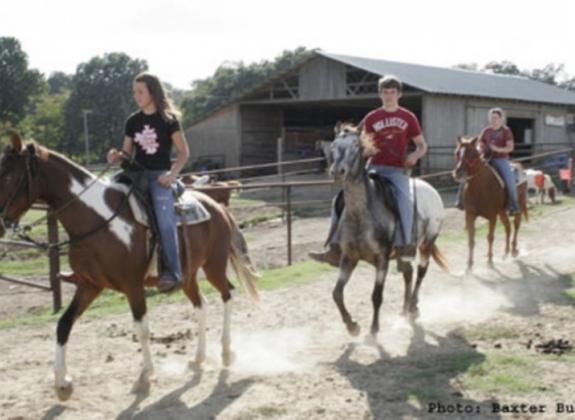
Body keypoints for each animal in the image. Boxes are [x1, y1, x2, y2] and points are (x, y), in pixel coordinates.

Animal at [0, 134, 258, 400]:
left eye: (8, 176)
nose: (1, 225)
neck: (98, 220)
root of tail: (218, 207)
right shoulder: (89, 285)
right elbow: (63, 324)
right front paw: (62, 384)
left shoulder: (133, 285)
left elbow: (142, 328)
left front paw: (145, 376)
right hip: (187, 275)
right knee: (201, 305)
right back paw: (198, 359)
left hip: (214, 264)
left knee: (228, 294)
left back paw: (226, 353)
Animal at [328, 124, 450, 338]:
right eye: (334, 146)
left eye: (356, 145)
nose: (337, 172)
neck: (360, 215)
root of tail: (431, 188)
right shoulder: (349, 257)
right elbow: (337, 293)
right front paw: (352, 326)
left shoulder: (382, 259)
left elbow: (376, 296)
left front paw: (373, 330)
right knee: (408, 273)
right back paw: (404, 310)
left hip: (427, 242)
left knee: (421, 271)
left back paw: (413, 308)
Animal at [452, 136, 528, 270]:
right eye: (457, 153)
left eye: (472, 154)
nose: (458, 173)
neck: (480, 187)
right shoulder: (470, 215)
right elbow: (471, 239)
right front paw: (469, 265)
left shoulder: (492, 216)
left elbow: (490, 237)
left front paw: (489, 261)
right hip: (502, 212)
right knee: (507, 227)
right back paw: (505, 252)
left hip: (518, 206)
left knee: (516, 225)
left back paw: (514, 250)